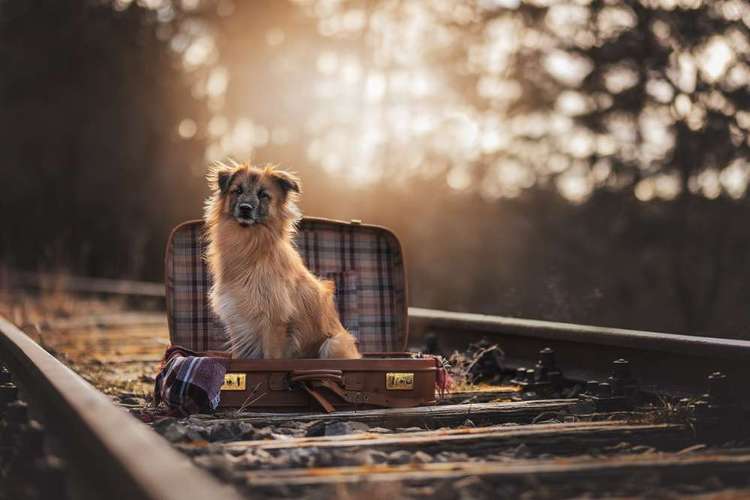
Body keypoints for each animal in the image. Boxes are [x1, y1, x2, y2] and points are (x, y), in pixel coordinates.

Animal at [203, 160, 362, 360]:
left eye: (263, 195)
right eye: (237, 190)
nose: (245, 208)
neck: (250, 245)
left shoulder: (274, 322)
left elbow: (272, 356)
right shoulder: (237, 324)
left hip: (332, 343)